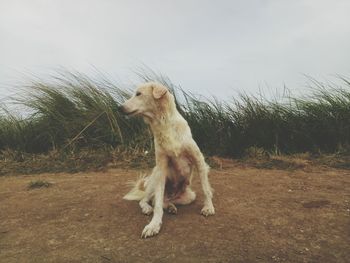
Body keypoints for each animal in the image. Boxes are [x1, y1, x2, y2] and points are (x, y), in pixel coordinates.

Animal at [120, 83, 215, 239]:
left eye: (138, 94)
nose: (119, 108)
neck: (164, 125)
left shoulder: (199, 160)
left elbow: (206, 189)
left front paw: (208, 207)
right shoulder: (161, 167)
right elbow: (157, 205)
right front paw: (153, 225)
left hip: (190, 196)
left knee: (164, 200)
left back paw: (170, 206)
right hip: (153, 180)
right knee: (148, 200)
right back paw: (149, 208)